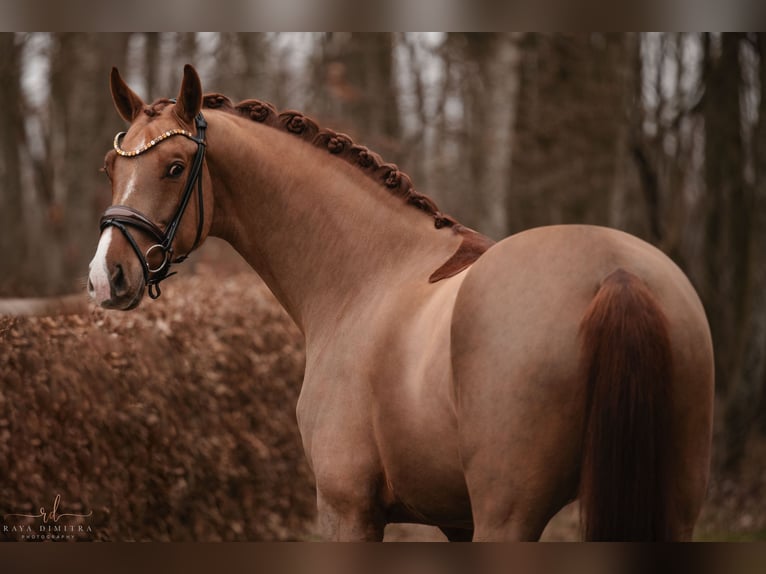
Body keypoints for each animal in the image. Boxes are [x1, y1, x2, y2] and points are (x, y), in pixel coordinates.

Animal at [87, 65, 716, 544]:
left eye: (173, 168)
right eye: (111, 168)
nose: (105, 278)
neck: (368, 273)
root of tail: (615, 271)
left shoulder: (347, 509)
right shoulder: (455, 521)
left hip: (508, 516)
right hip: (674, 506)